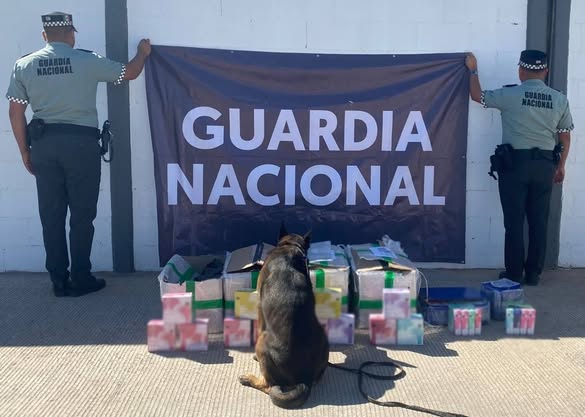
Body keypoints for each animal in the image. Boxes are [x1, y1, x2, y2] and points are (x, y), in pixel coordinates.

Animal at [238, 225, 329, 408]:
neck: (291, 246)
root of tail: (304, 377)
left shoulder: (259, 307)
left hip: (262, 343)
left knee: (268, 386)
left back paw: (249, 378)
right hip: (324, 338)